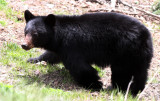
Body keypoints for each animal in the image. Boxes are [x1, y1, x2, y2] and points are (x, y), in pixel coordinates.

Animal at [21, 10, 152, 95]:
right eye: (26, 32)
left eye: (35, 34)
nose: (24, 45)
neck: (59, 37)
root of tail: (145, 35)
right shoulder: (61, 48)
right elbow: (52, 55)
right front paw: (33, 59)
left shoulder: (72, 46)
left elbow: (80, 67)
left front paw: (95, 85)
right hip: (139, 55)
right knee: (141, 73)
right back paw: (135, 90)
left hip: (124, 51)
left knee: (122, 72)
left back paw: (118, 88)